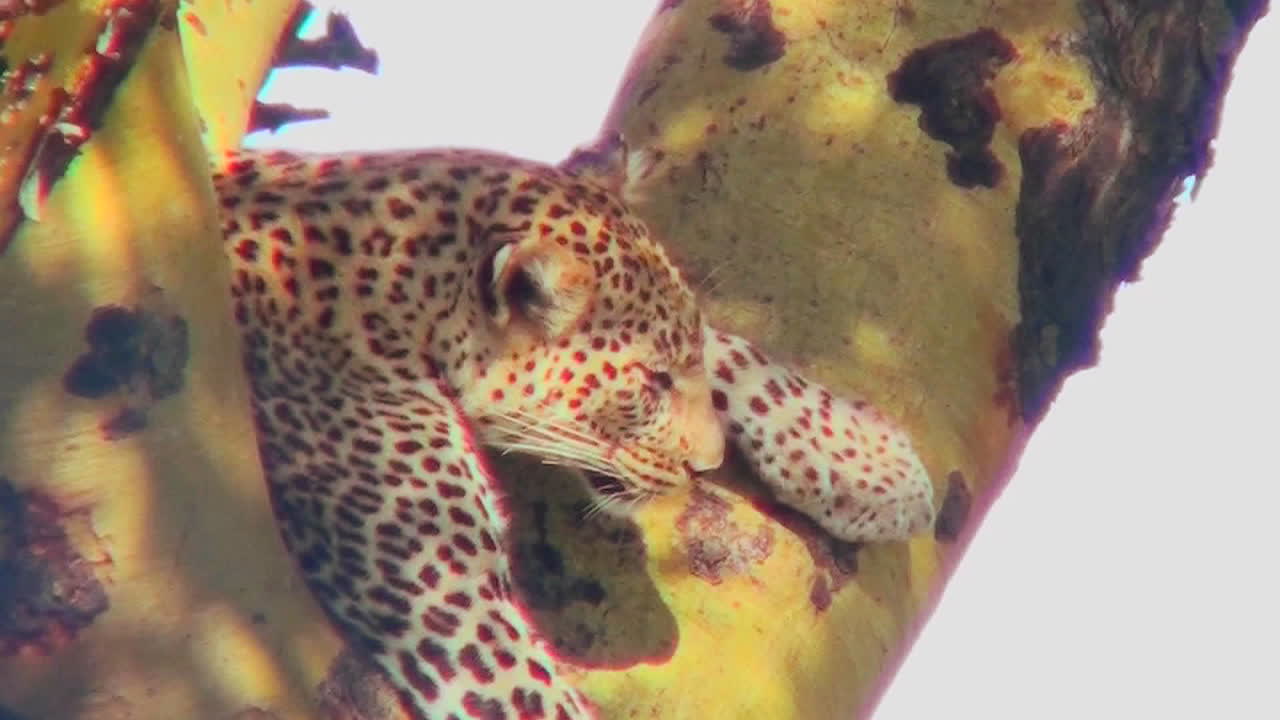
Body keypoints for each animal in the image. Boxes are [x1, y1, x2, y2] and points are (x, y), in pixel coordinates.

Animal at [213, 147, 934, 720]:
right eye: (649, 383)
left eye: (674, 369)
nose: (707, 466)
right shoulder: (452, 602)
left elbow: (723, 346)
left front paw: (866, 462)